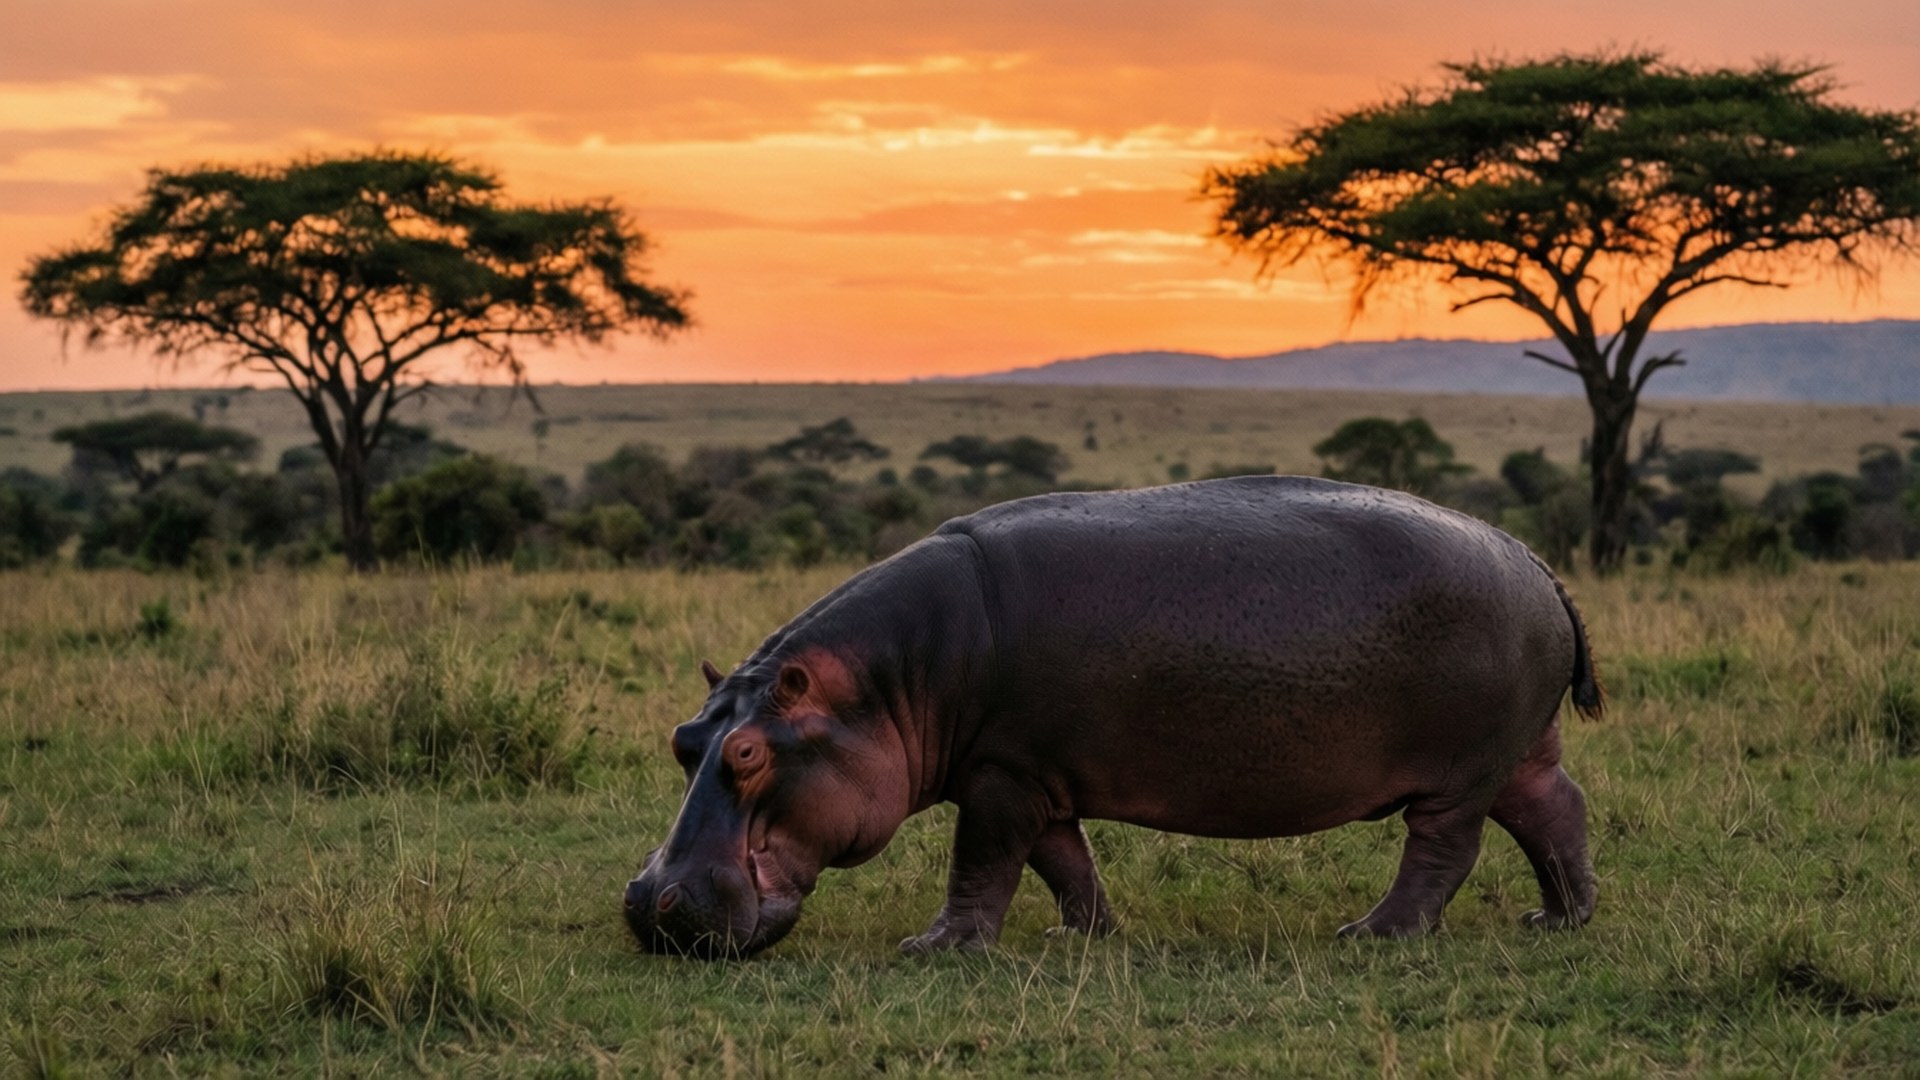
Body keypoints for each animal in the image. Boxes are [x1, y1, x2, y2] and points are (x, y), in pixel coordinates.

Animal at [624, 476, 1602, 958]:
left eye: (748, 754)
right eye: (683, 740)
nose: (645, 904)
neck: (884, 681)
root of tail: (1538, 564)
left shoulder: (1000, 777)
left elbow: (981, 864)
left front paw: (934, 948)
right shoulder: (1033, 776)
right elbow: (1065, 862)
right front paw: (1081, 935)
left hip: (1461, 771)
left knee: (1442, 852)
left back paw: (1373, 935)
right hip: (1523, 749)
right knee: (1557, 811)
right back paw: (1557, 922)